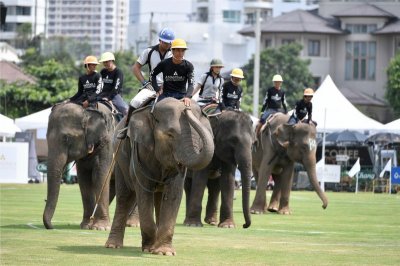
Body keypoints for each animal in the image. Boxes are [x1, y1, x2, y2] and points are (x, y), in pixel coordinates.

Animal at [104, 97, 214, 256]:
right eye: (170, 135)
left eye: (199, 138)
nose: (186, 105)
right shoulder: (140, 151)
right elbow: (144, 191)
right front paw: (149, 248)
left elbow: (174, 193)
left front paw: (164, 252)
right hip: (120, 159)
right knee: (124, 196)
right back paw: (113, 246)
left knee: (158, 197)